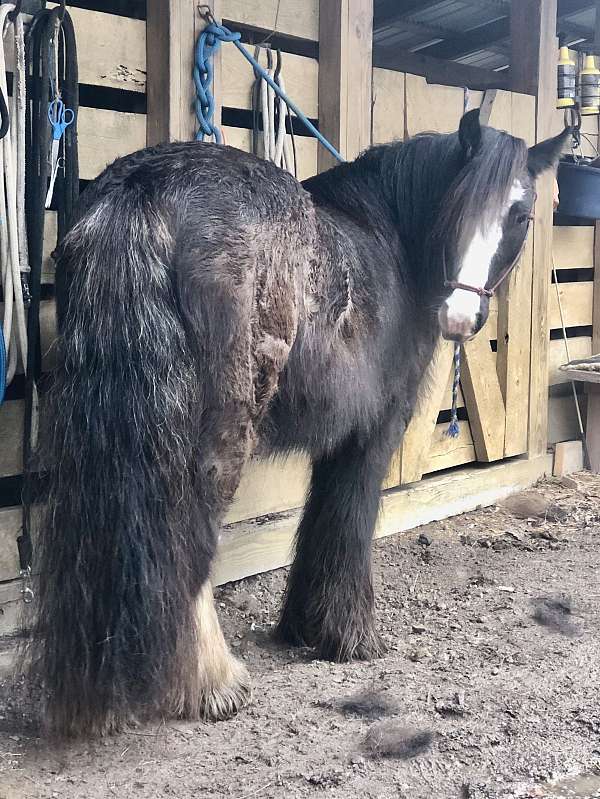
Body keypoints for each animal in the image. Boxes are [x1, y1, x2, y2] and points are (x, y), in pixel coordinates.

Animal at [27, 108, 568, 736]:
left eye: (519, 215)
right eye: (459, 206)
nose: (459, 317)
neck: (389, 240)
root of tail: (145, 190)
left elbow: (320, 517)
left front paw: (304, 628)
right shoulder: (376, 429)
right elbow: (352, 517)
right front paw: (350, 636)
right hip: (222, 432)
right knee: (192, 529)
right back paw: (213, 683)